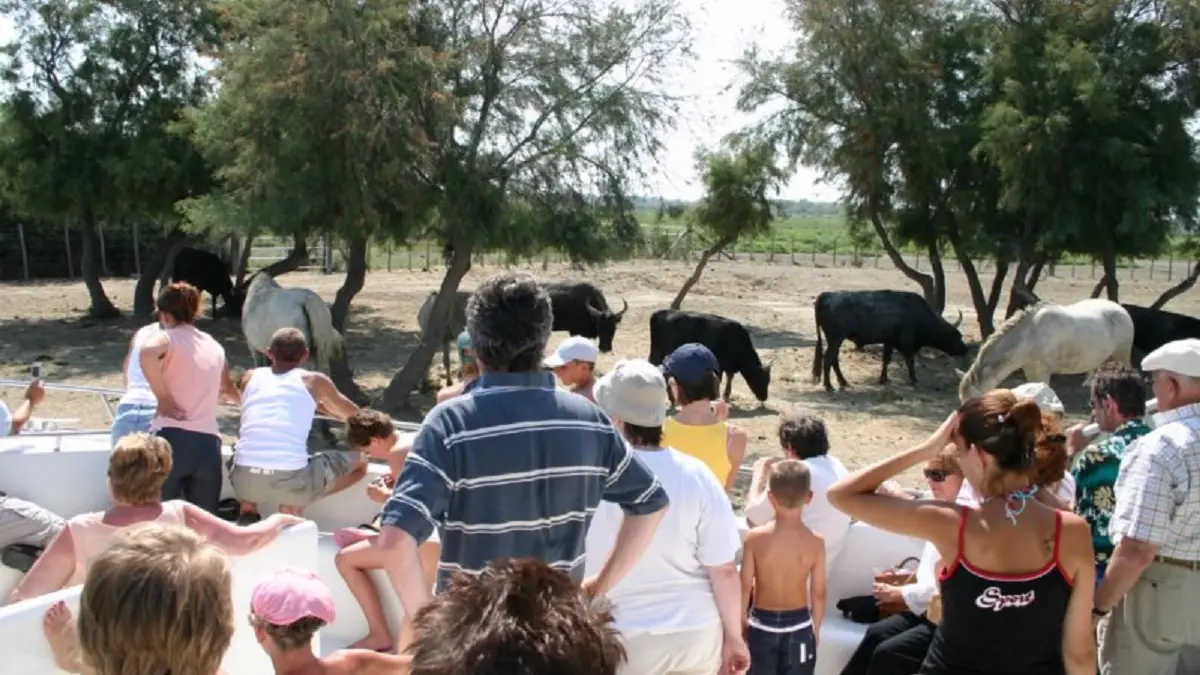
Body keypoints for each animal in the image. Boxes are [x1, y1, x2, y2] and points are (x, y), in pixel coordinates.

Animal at [811, 289, 969, 389]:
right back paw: (829, 386)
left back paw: (843, 382)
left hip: (835, 340)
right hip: (835, 339)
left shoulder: (889, 341)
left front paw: (883, 379)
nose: (965, 349)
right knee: (828, 359)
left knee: (834, 360)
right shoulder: (907, 341)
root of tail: (825, 295)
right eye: (956, 336)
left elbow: (886, 359)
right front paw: (914, 380)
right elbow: (910, 360)